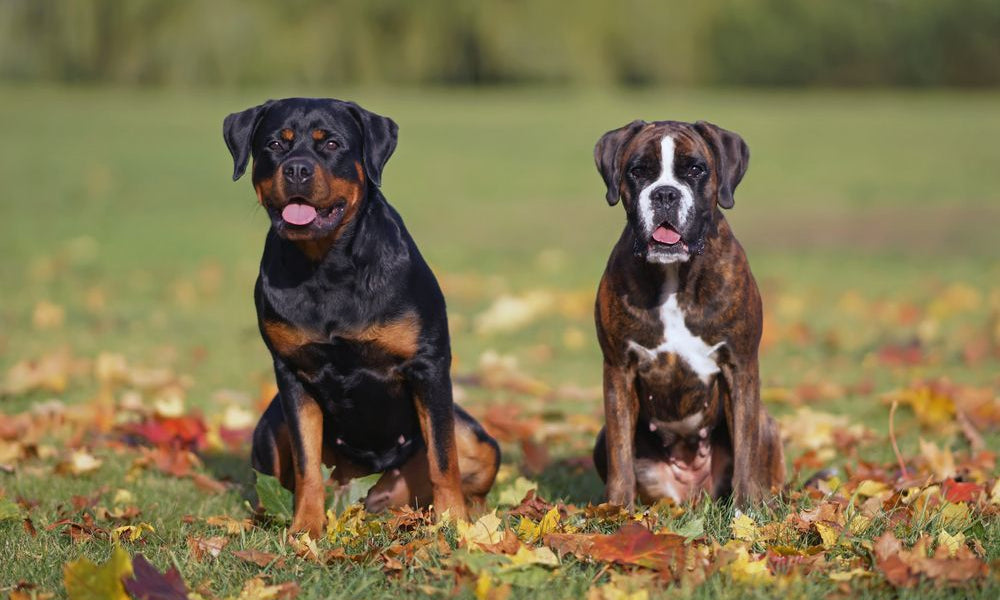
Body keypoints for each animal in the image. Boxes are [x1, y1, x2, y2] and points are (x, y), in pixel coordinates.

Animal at [223, 99, 496, 540]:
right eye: (275, 144)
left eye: (331, 143)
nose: (297, 169)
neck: (326, 266)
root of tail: (375, 502)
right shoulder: (292, 374)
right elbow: (306, 464)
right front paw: (305, 529)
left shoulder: (428, 365)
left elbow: (444, 457)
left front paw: (454, 525)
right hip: (269, 428)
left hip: (477, 440)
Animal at [588, 120, 784, 506]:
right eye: (638, 171)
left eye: (695, 169)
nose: (665, 194)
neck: (674, 275)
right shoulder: (618, 369)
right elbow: (620, 453)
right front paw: (616, 510)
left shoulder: (740, 366)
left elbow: (745, 449)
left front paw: (746, 511)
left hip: (767, 425)